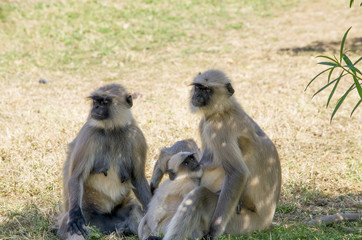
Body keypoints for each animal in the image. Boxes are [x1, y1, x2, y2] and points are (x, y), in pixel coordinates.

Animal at [56, 83, 151, 239]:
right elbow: (76, 177)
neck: (112, 130)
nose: (95, 108)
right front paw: (75, 217)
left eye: (105, 102)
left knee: (134, 209)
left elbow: (138, 179)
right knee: (75, 226)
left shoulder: (137, 137)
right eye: (95, 101)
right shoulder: (89, 134)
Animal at [162, 70, 282, 240]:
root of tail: (267, 221)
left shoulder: (218, 128)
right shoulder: (205, 124)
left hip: (243, 221)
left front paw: (214, 231)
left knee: (200, 195)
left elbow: (237, 172)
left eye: (207, 90)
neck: (224, 110)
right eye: (198, 87)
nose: (197, 96)